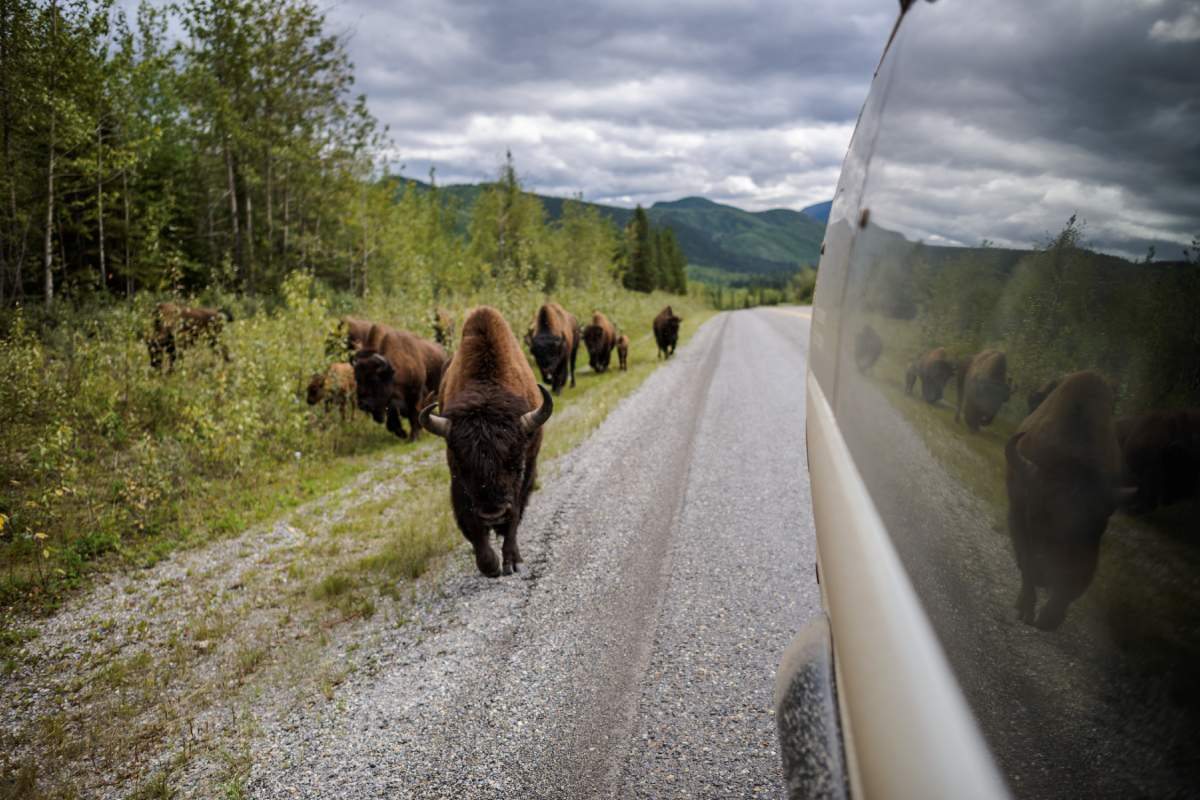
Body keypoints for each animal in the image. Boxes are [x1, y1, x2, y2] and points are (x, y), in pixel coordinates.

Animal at [419, 306, 553, 577]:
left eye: (516, 464)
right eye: (464, 466)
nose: (493, 514)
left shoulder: (526, 474)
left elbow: (515, 516)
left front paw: (511, 561)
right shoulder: (457, 480)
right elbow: (471, 523)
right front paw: (490, 565)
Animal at [1004, 371, 1135, 630]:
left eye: (1098, 526)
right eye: (1035, 517)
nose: (1048, 575)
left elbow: (1069, 588)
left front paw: (1050, 618)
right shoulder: (1018, 517)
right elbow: (1026, 565)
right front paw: (1026, 609)